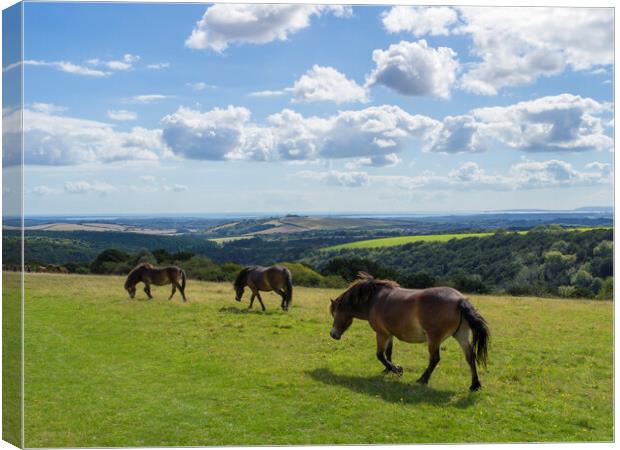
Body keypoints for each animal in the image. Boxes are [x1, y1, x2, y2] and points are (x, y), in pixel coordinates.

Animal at [330, 272, 490, 392]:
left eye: (335, 313)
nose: (333, 334)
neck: (374, 300)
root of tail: (460, 300)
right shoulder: (390, 334)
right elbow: (388, 353)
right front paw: (388, 370)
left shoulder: (381, 333)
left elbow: (380, 355)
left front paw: (397, 369)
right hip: (461, 335)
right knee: (470, 357)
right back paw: (475, 385)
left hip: (434, 338)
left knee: (435, 359)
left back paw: (422, 379)